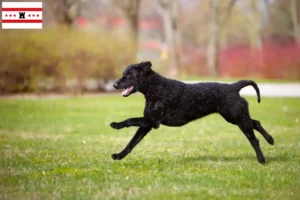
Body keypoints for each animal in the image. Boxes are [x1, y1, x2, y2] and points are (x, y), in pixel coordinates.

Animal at [110, 61, 274, 163]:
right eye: (123, 74)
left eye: (129, 75)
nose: (114, 84)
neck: (156, 88)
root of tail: (234, 86)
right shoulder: (147, 123)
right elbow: (131, 143)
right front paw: (119, 155)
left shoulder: (152, 120)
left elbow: (130, 120)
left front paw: (116, 124)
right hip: (236, 117)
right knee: (256, 123)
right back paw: (271, 140)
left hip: (237, 118)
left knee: (254, 139)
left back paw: (261, 159)